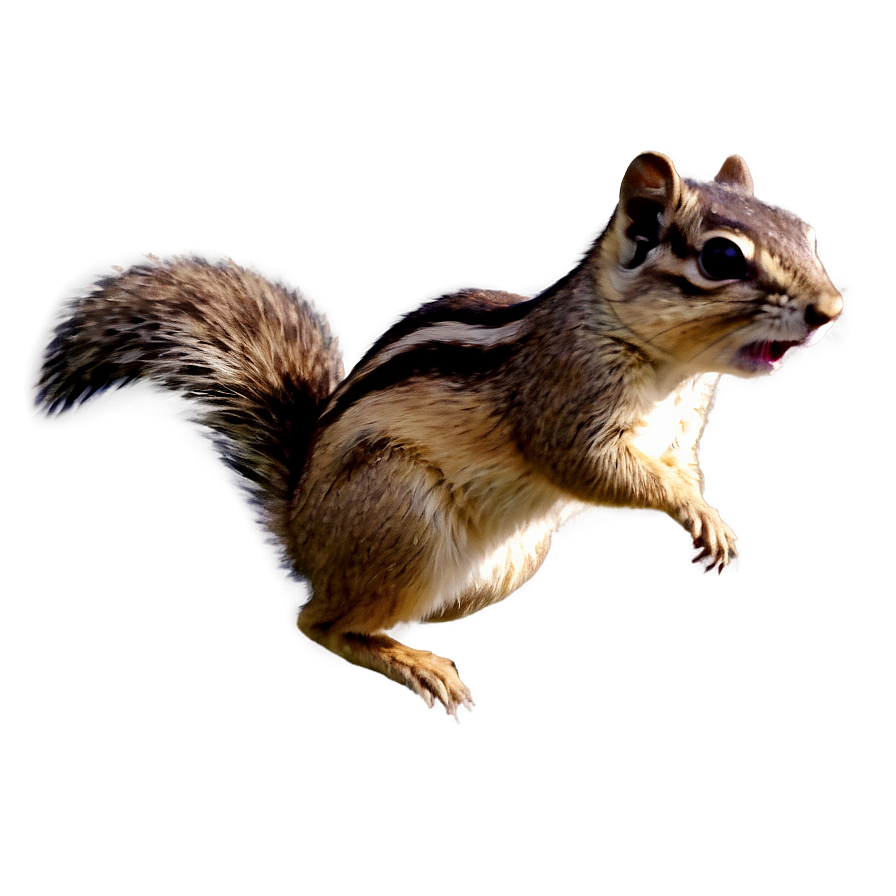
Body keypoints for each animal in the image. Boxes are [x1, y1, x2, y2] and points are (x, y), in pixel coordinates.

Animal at [34, 152, 843, 716]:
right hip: (402, 516)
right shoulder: (563, 406)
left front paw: (709, 512)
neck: (675, 370)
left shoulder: (679, 431)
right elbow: (594, 471)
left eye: (808, 233)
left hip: (500, 564)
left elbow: (677, 465)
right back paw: (409, 662)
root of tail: (300, 527)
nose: (830, 310)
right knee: (319, 624)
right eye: (721, 257)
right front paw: (689, 508)